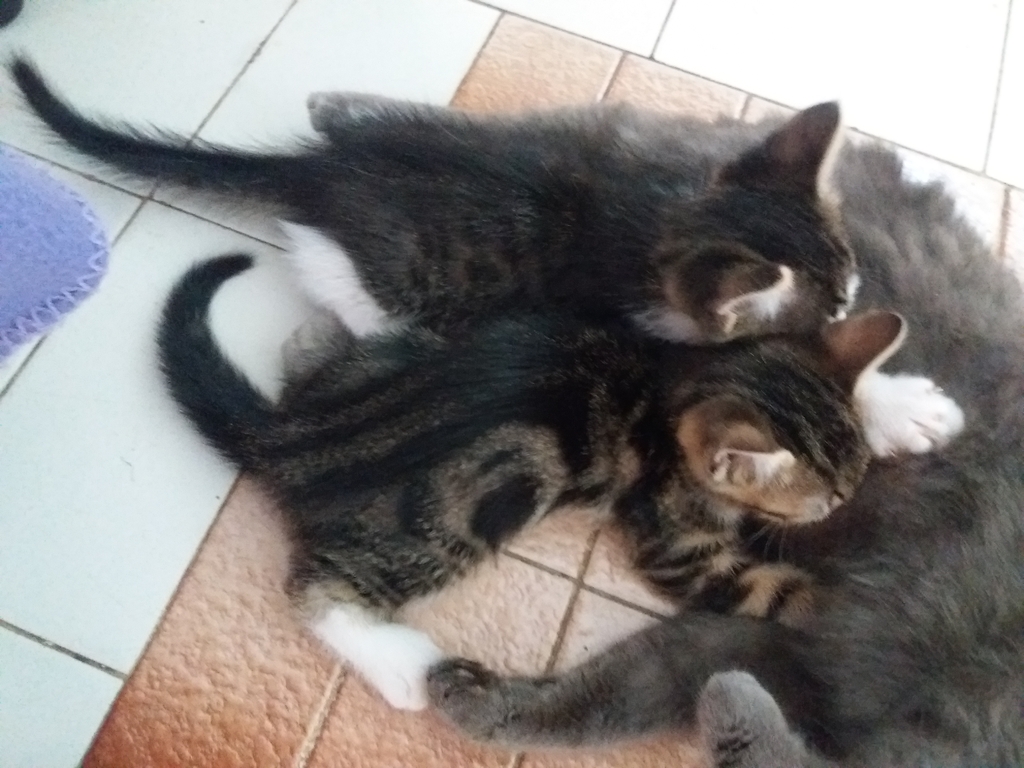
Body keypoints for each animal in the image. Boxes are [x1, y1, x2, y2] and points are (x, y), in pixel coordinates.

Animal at [11, 59, 961, 458]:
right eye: (830, 310)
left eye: (851, 294)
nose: (852, 305)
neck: (660, 219)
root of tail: (318, 173)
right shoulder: (655, 342)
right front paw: (898, 407)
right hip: (381, 281)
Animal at [158, 253, 902, 711]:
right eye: (828, 500)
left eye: (854, 485)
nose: (845, 505)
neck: (672, 391)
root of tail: (301, 435)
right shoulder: (674, 543)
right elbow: (770, 589)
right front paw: (851, 610)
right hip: (457, 520)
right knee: (318, 587)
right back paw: (400, 668)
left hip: (412, 345)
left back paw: (314, 338)